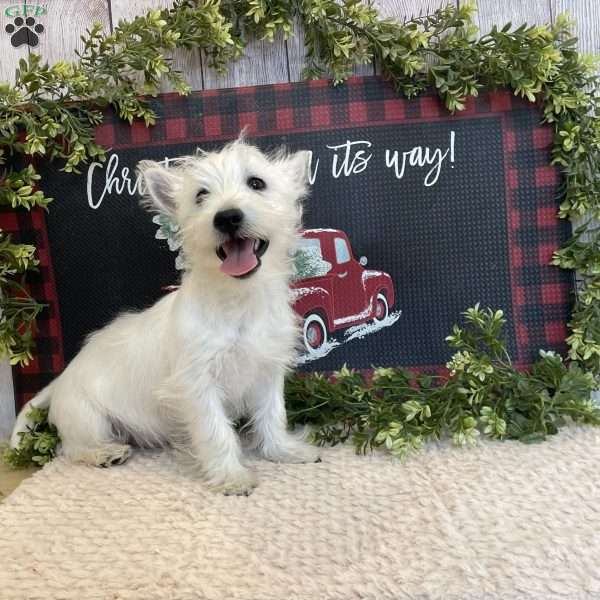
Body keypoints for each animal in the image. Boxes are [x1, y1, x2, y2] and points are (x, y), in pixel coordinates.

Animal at [10, 138, 318, 494]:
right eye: (201, 195)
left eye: (256, 183)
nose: (227, 217)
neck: (238, 300)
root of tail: (58, 381)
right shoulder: (197, 385)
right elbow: (216, 431)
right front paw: (231, 476)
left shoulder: (267, 372)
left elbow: (272, 415)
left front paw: (284, 450)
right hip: (88, 417)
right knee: (69, 448)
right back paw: (104, 453)